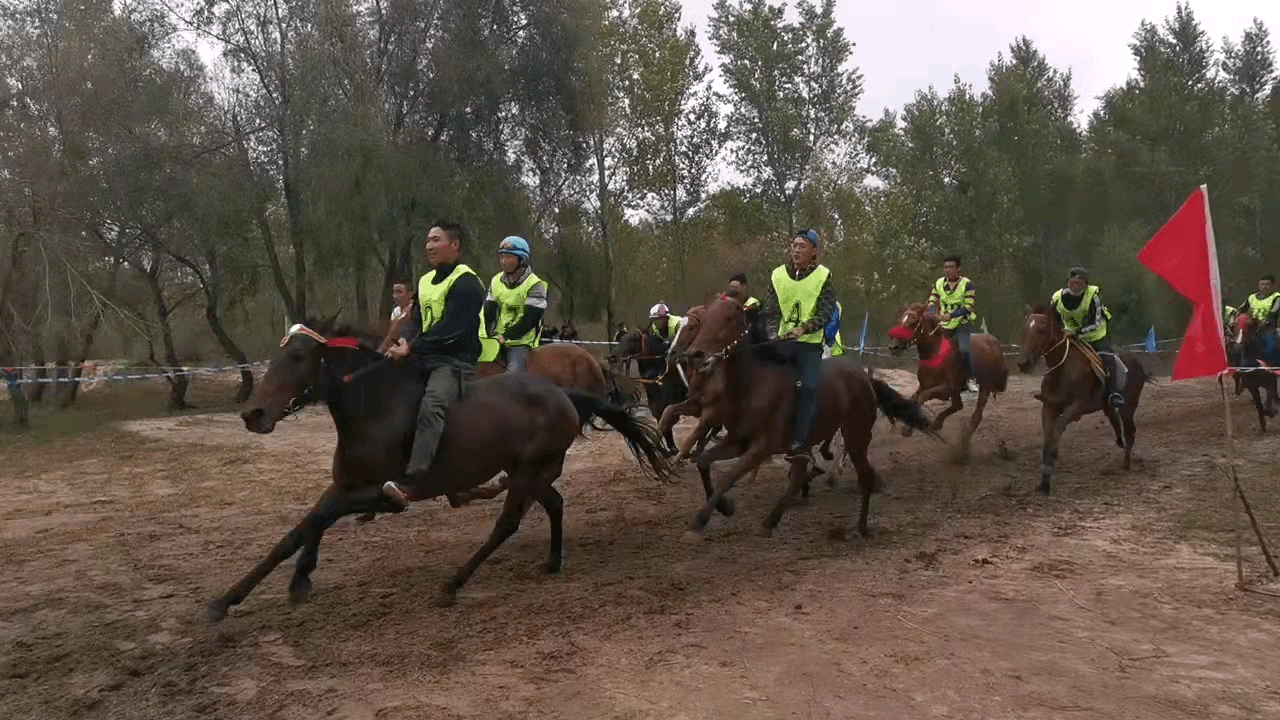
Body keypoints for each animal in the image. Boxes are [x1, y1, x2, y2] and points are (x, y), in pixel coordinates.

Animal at [209, 316, 670, 620]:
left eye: (300, 356)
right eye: (278, 353)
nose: (253, 414)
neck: (377, 409)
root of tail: (564, 395)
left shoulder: (385, 494)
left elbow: (316, 521)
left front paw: (279, 585)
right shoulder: (344, 485)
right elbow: (300, 530)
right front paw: (239, 595)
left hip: (527, 473)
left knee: (507, 524)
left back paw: (453, 584)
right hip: (534, 473)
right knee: (554, 503)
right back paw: (552, 561)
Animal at [680, 294, 931, 535]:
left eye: (729, 318)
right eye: (704, 317)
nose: (694, 354)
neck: (755, 385)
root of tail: (865, 378)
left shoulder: (761, 447)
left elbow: (728, 476)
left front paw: (699, 521)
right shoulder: (737, 442)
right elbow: (702, 462)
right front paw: (724, 507)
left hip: (856, 437)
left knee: (864, 477)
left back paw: (860, 528)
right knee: (799, 476)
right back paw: (770, 521)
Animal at [885, 301, 1003, 448]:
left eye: (913, 322)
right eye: (902, 320)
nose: (893, 348)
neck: (935, 353)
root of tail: (994, 342)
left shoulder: (945, 390)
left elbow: (923, 397)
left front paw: (907, 429)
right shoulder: (924, 386)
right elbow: (914, 398)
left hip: (985, 386)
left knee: (975, 416)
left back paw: (962, 445)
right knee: (958, 405)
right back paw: (938, 424)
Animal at [1013, 302, 1157, 491]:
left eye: (1042, 330)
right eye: (1024, 329)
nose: (1024, 363)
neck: (1063, 371)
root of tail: (1138, 365)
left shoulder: (1076, 407)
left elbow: (1056, 430)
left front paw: (1049, 468)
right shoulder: (1049, 407)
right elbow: (1048, 435)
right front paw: (1044, 479)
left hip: (1128, 407)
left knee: (1130, 432)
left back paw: (1126, 464)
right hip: (1109, 407)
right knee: (1116, 422)